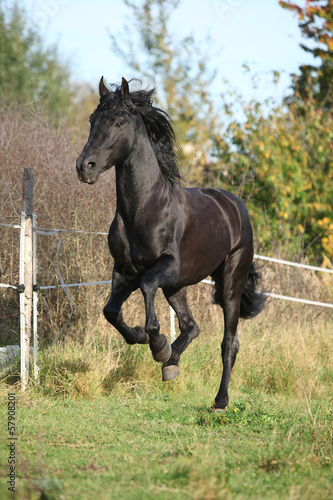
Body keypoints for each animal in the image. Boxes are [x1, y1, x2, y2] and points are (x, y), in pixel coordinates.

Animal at [76, 76, 264, 408]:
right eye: (92, 120)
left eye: (119, 121)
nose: (85, 167)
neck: (143, 209)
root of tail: (235, 206)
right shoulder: (123, 269)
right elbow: (110, 311)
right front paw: (145, 340)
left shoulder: (166, 266)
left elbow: (147, 286)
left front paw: (156, 341)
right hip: (178, 286)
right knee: (192, 326)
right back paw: (170, 363)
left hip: (229, 283)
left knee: (229, 343)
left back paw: (219, 400)